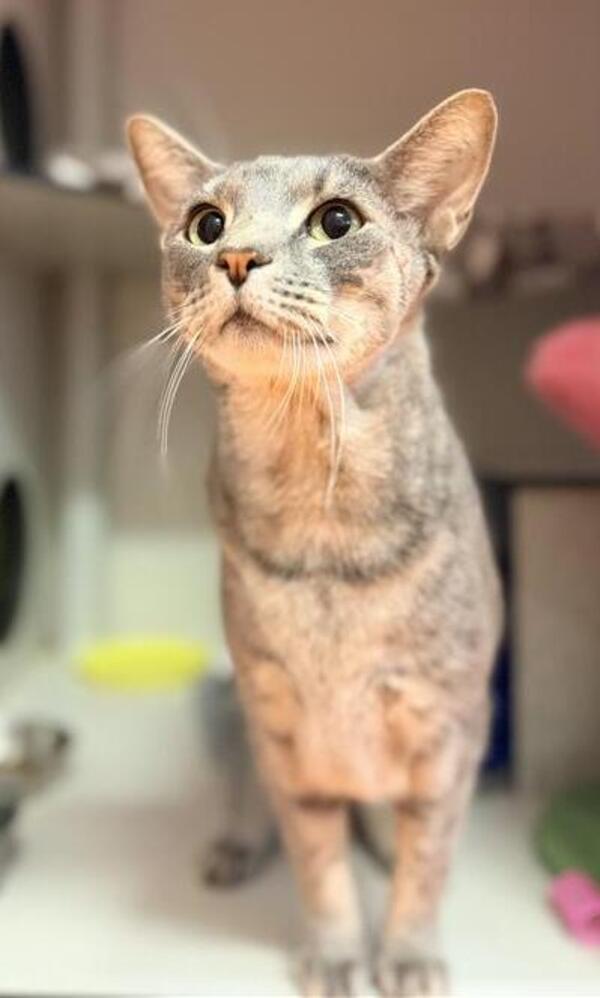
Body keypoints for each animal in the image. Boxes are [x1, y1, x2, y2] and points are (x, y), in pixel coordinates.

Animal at [128, 89, 502, 997]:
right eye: (205, 223)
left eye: (337, 220)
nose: (237, 256)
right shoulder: (283, 728)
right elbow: (317, 862)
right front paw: (336, 954)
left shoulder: (448, 727)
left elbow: (424, 864)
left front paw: (407, 953)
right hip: (233, 712)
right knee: (248, 800)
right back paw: (235, 846)